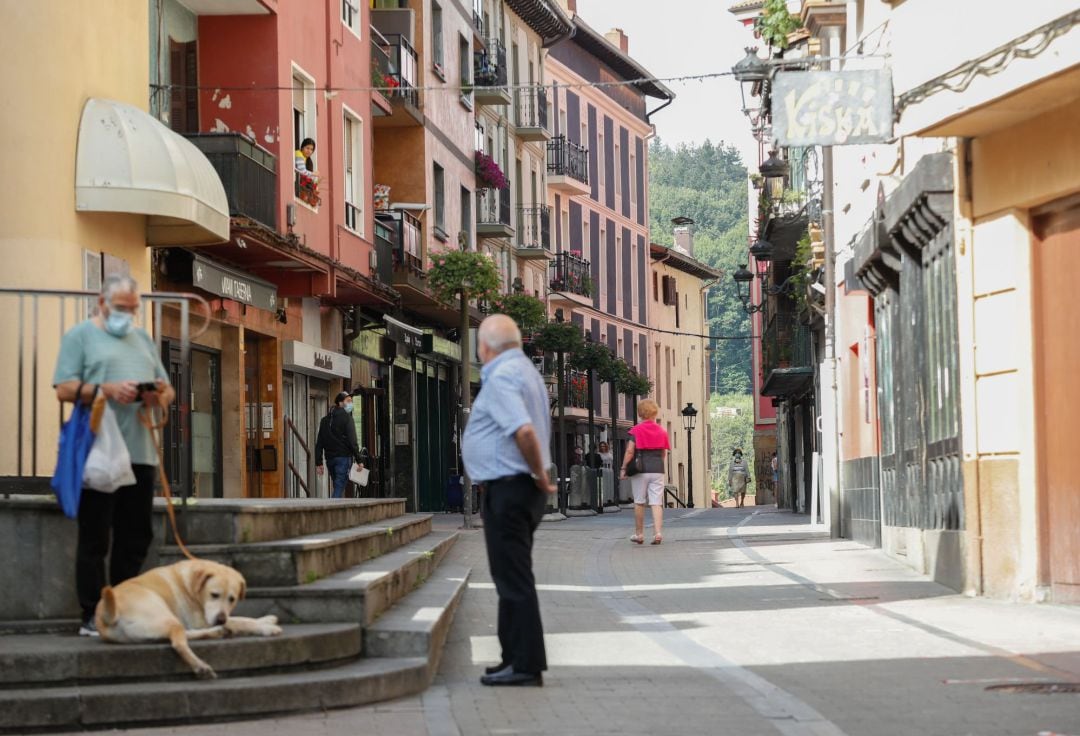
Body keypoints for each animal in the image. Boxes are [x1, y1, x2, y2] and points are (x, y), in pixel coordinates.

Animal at [96, 557, 282, 678]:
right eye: (214, 595)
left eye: (232, 599)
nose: (220, 620)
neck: (191, 586)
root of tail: (107, 616)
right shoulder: (203, 620)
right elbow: (240, 621)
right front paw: (267, 627)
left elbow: (240, 618)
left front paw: (267, 619)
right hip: (164, 615)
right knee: (179, 643)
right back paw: (200, 665)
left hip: (159, 627)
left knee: (182, 635)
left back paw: (218, 632)